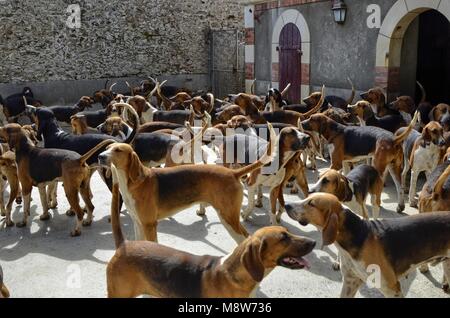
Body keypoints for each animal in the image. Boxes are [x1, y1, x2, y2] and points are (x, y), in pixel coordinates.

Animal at [100, 123, 278, 242]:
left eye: (118, 150)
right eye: (107, 148)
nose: (100, 156)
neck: (134, 182)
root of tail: (233, 173)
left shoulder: (149, 225)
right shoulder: (138, 223)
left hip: (228, 217)